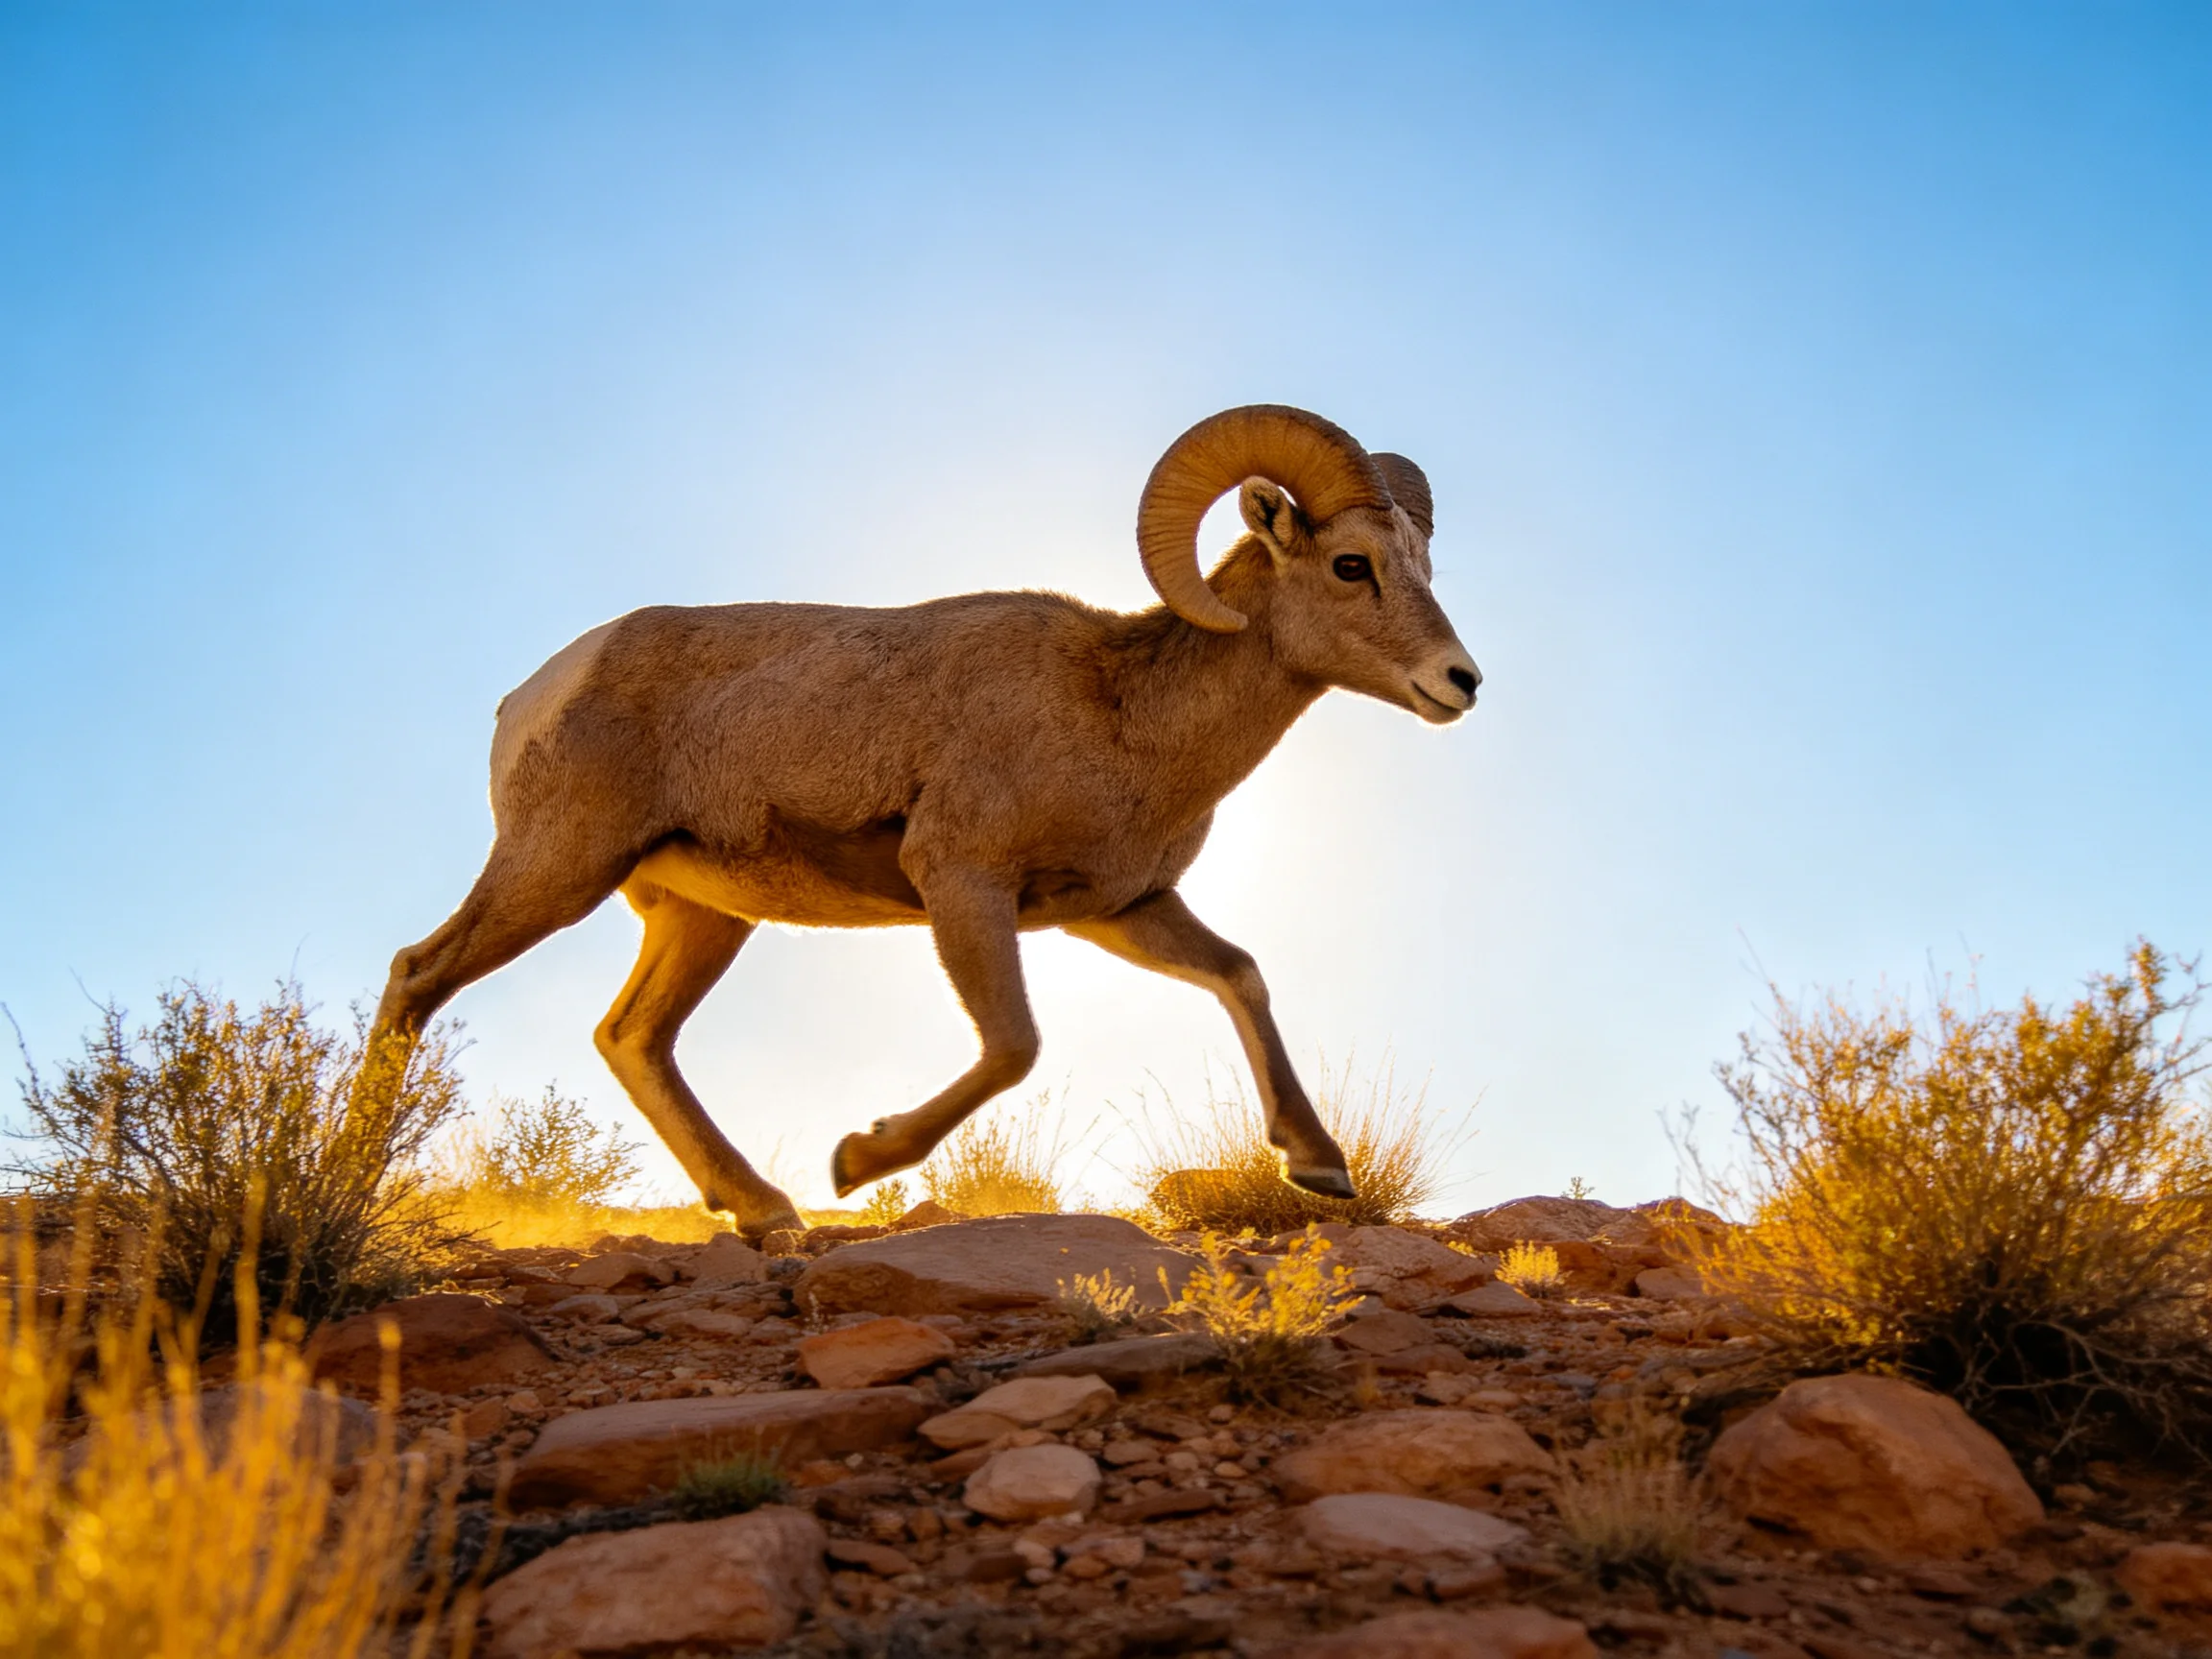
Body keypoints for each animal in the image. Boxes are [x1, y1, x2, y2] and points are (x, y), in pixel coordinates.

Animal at [368, 405, 1481, 1238]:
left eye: (1425, 564)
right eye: (1350, 565)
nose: (1460, 683)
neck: (1123, 716)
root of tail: (535, 693)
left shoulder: (1120, 910)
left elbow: (1241, 975)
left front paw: (1318, 1167)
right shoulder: (964, 885)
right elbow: (1015, 1046)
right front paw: (858, 1159)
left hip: (702, 918)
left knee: (632, 1038)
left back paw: (768, 1215)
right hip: (556, 871)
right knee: (421, 977)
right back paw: (350, 1171)